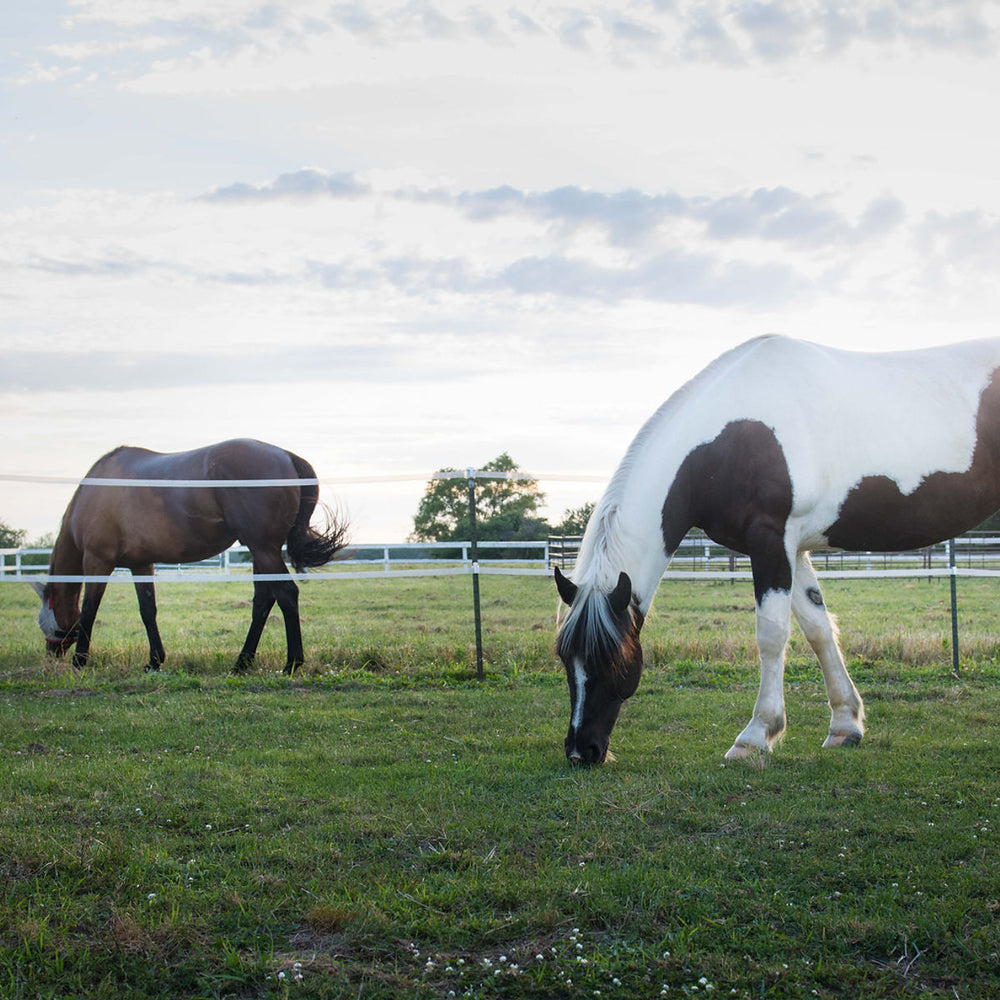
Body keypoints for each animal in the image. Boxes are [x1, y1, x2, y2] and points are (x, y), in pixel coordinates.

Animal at [33, 438, 348, 673]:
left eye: (46, 624)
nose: (52, 655)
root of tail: (287, 456)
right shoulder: (140, 564)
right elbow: (148, 610)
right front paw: (154, 661)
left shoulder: (98, 562)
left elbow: (89, 610)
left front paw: (80, 661)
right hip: (262, 551)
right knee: (264, 600)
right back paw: (242, 662)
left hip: (264, 549)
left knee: (285, 594)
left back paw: (291, 663)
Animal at [555, 334, 1000, 764]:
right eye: (563, 657)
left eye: (611, 658)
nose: (581, 751)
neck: (731, 435)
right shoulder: (794, 548)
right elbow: (818, 628)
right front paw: (845, 726)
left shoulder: (771, 540)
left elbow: (771, 634)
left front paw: (755, 736)